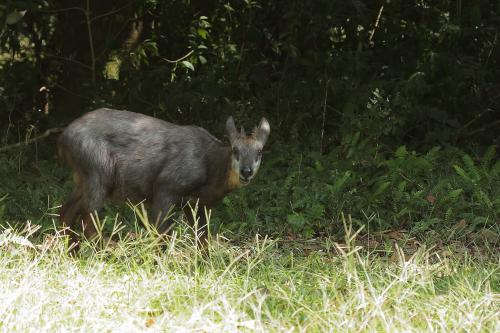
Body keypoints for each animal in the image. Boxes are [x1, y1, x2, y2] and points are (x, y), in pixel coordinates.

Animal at [58, 107, 270, 245]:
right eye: (235, 150)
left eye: (259, 151)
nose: (246, 172)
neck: (210, 170)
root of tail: (64, 137)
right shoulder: (165, 187)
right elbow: (161, 235)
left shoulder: (196, 205)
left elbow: (202, 240)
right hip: (99, 174)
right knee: (88, 223)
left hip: (83, 178)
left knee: (66, 213)